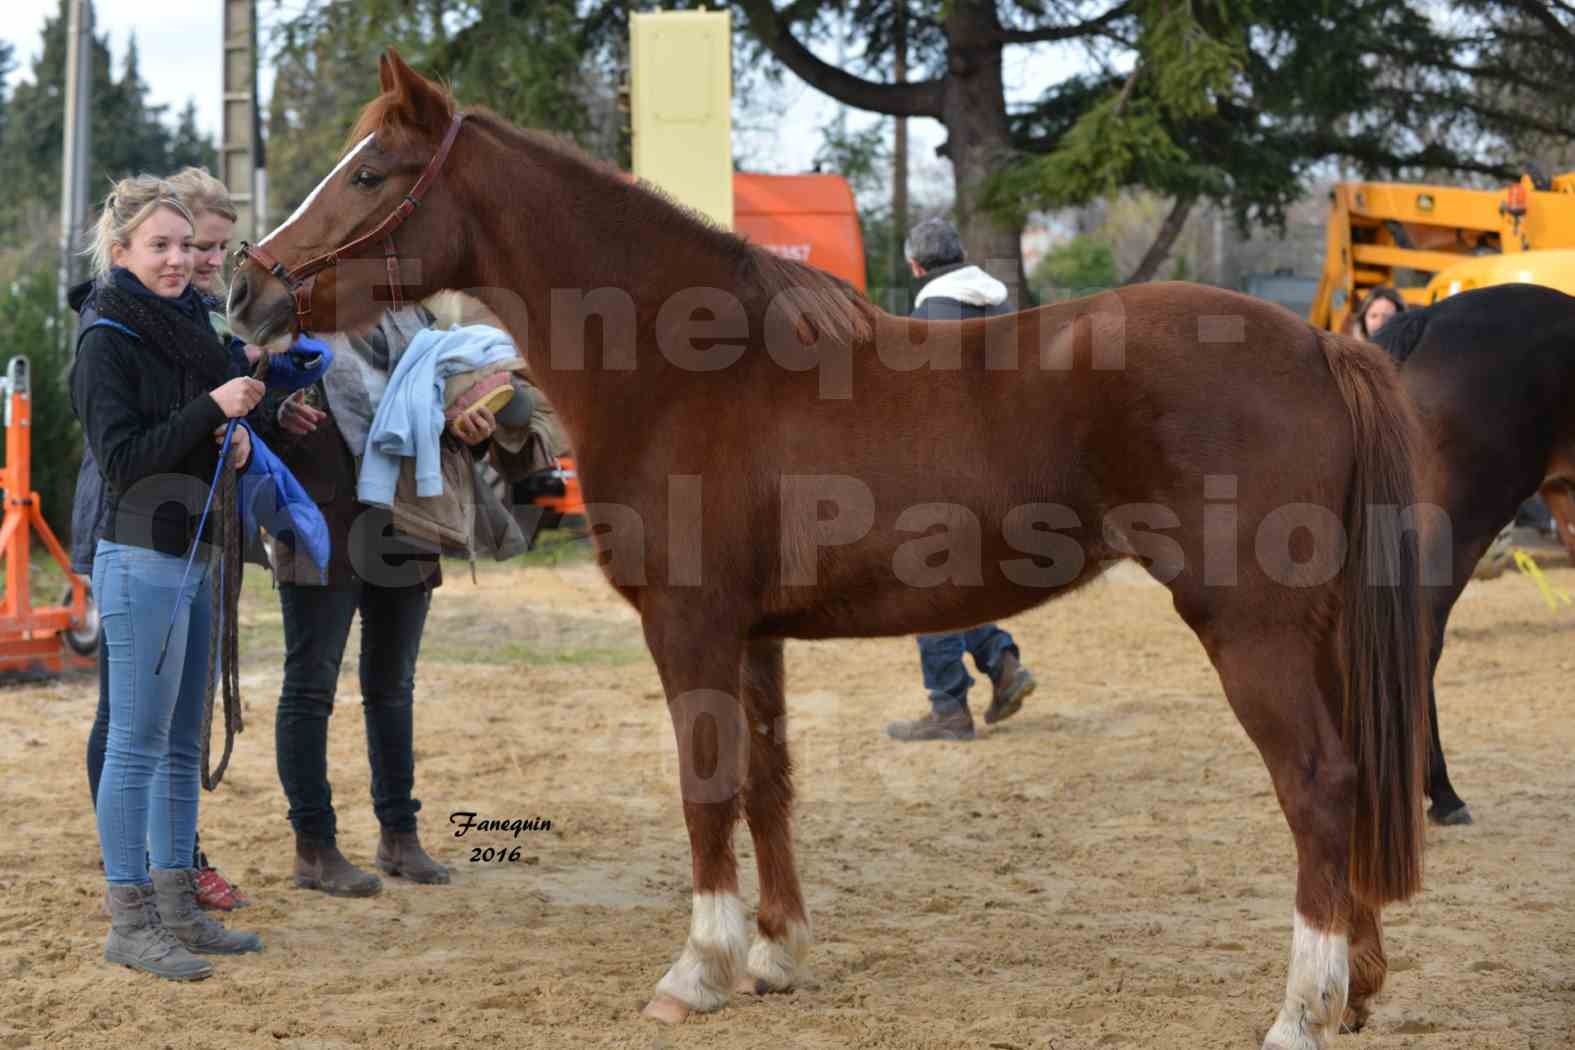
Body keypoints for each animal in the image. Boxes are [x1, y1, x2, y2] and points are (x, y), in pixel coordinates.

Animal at [229, 51, 1430, 1050]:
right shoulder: (755, 635)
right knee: (1360, 780)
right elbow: (768, 782)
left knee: (1319, 784)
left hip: (1250, 627)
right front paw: (774, 955)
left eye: (373, 174)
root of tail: (1317, 346)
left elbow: (706, 785)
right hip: (1314, 629)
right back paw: (1359, 987)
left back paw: (1301, 1011)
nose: (248, 288)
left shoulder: (691, 626)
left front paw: (697, 970)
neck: (688, 369)